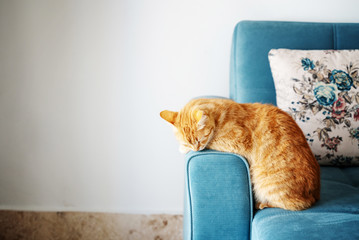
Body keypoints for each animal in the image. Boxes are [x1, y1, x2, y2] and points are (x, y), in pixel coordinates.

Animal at [160, 97, 320, 210]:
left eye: (199, 140)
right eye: (189, 143)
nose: (195, 149)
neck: (219, 116)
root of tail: (315, 195)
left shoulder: (236, 140)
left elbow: (212, 141)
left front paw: (182, 149)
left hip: (266, 184)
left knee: (293, 204)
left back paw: (262, 204)